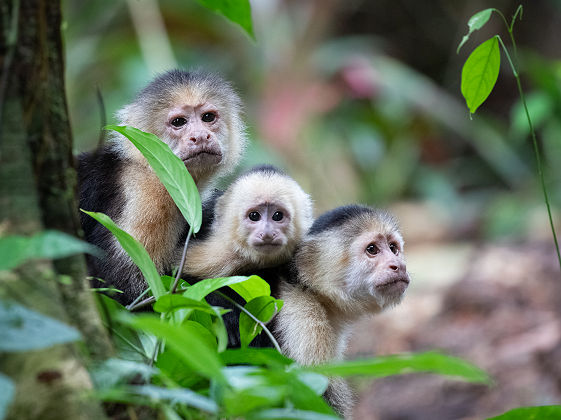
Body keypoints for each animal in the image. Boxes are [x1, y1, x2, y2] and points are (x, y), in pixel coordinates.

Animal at [78, 69, 245, 306]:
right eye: (179, 122)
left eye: (208, 117)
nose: (200, 136)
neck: (153, 171)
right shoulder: (144, 198)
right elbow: (125, 288)